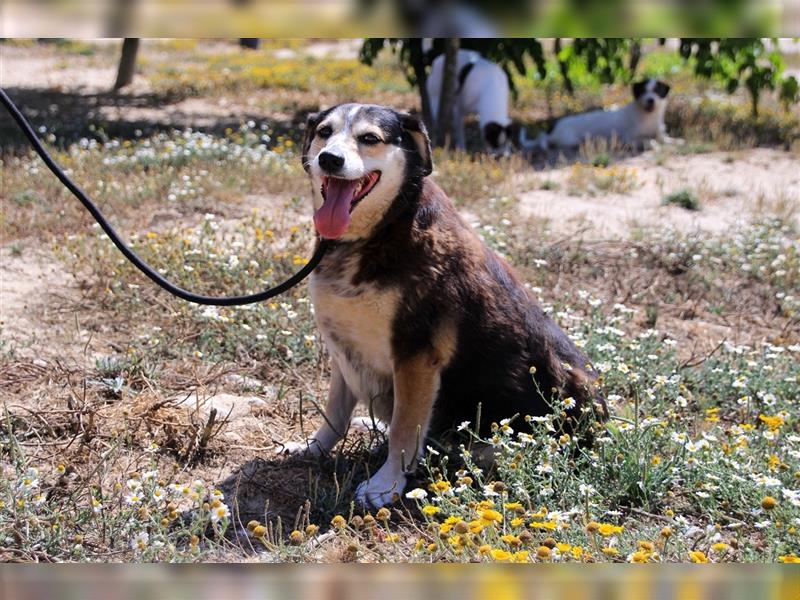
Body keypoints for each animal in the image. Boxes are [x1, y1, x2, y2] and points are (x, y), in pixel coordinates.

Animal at [288, 103, 608, 506]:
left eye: (369, 138)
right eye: (324, 133)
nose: (329, 159)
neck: (386, 228)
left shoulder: (416, 357)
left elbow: (404, 428)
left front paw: (385, 484)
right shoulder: (343, 347)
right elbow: (334, 414)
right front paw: (313, 448)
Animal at [536, 78, 676, 151]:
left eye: (657, 91)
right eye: (643, 91)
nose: (650, 100)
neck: (648, 117)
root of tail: (552, 130)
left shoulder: (659, 132)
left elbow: (664, 138)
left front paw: (674, 141)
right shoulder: (629, 139)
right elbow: (648, 140)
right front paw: (653, 144)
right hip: (570, 140)